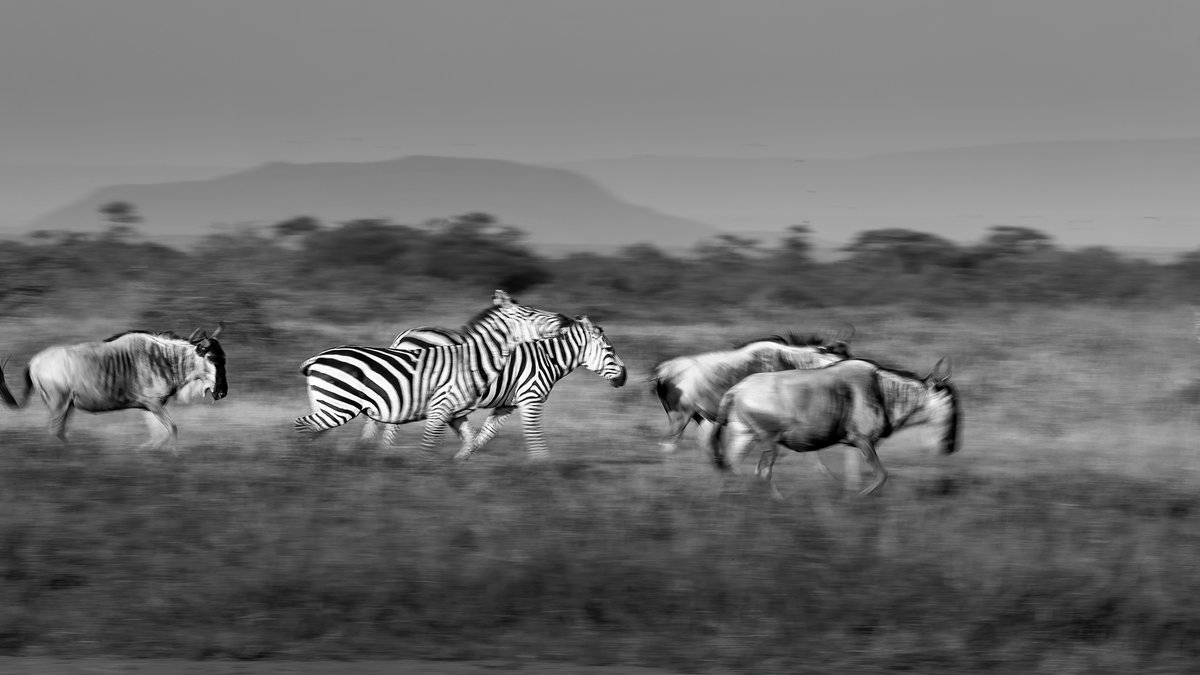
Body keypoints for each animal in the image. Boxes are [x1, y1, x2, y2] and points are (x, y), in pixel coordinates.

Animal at [294, 289, 566, 456]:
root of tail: (317, 358)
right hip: (342, 404)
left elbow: (472, 440)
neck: (473, 359)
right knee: (308, 427)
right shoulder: (442, 407)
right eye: (530, 313)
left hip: (334, 403)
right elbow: (433, 447)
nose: (564, 319)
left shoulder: (457, 412)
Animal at [362, 312, 628, 458]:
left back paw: (370, 448)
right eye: (609, 350)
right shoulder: (530, 396)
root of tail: (404, 335)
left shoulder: (507, 404)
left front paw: (461, 459)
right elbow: (532, 433)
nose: (625, 377)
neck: (548, 357)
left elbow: (484, 435)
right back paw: (384, 451)